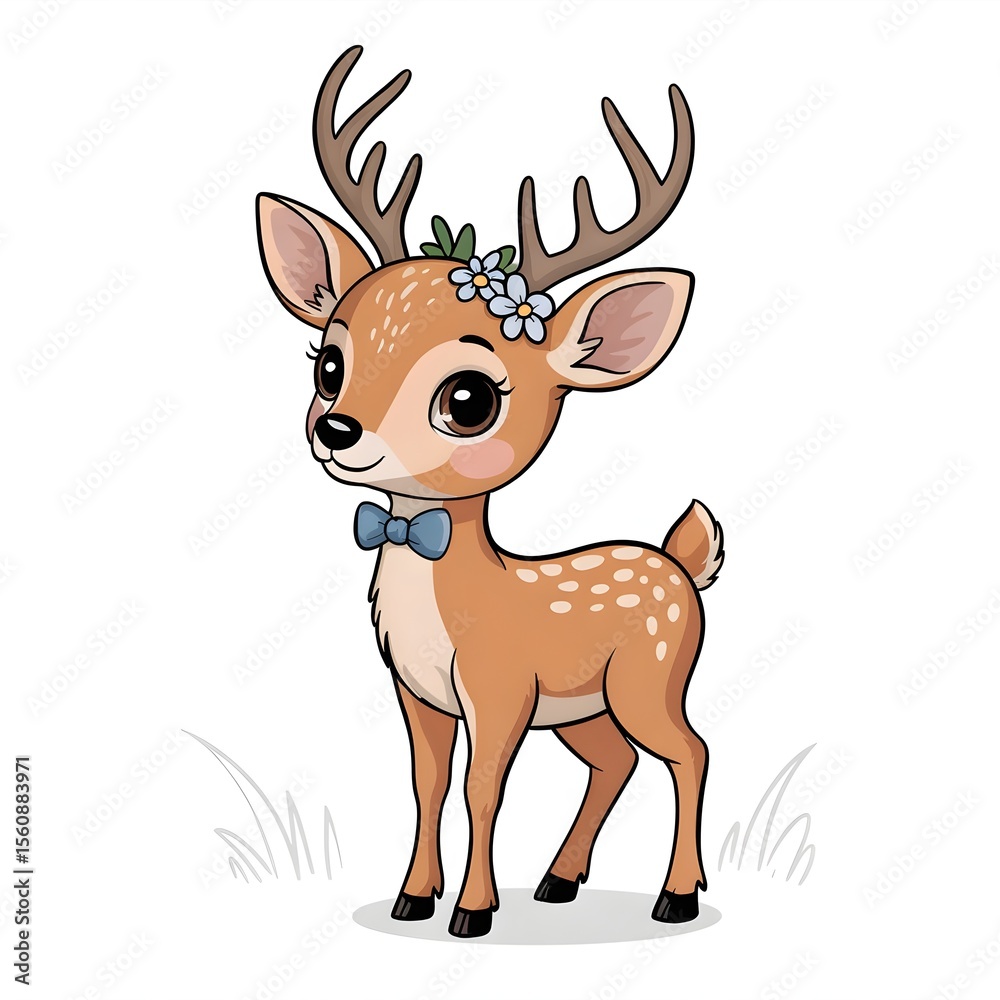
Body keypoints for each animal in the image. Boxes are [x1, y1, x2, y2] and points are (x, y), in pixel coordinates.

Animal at [256, 46, 723, 939]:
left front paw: (472, 912)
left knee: (690, 751)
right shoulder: (418, 692)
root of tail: (682, 564)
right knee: (615, 764)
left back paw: (675, 896)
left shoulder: (500, 690)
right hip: (585, 707)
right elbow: (428, 784)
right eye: (327, 362)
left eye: (469, 398)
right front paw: (413, 898)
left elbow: (483, 789)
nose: (337, 429)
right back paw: (559, 882)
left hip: (648, 678)